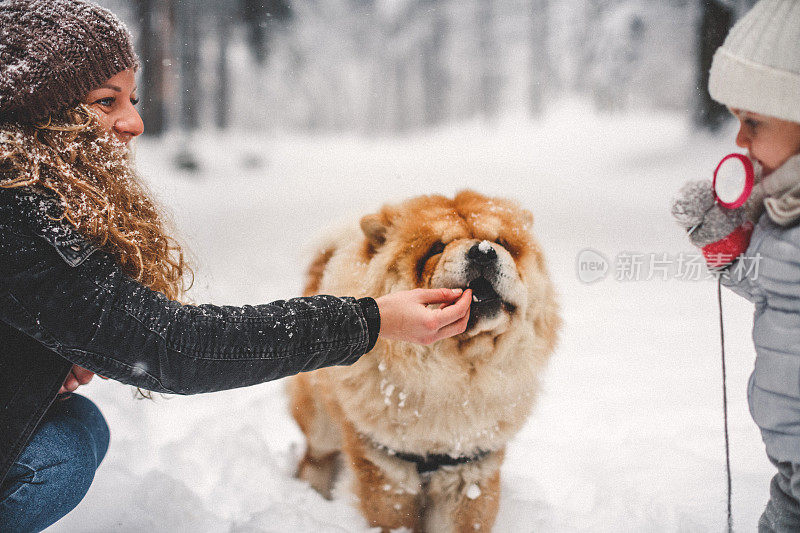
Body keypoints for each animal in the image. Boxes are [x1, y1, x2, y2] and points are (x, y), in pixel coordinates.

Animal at [290, 189, 560, 528]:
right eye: (437, 248)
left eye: (501, 242)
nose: (484, 252)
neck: (451, 377)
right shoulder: (386, 466)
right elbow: (392, 519)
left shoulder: (471, 466)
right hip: (320, 420)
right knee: (314, 458)